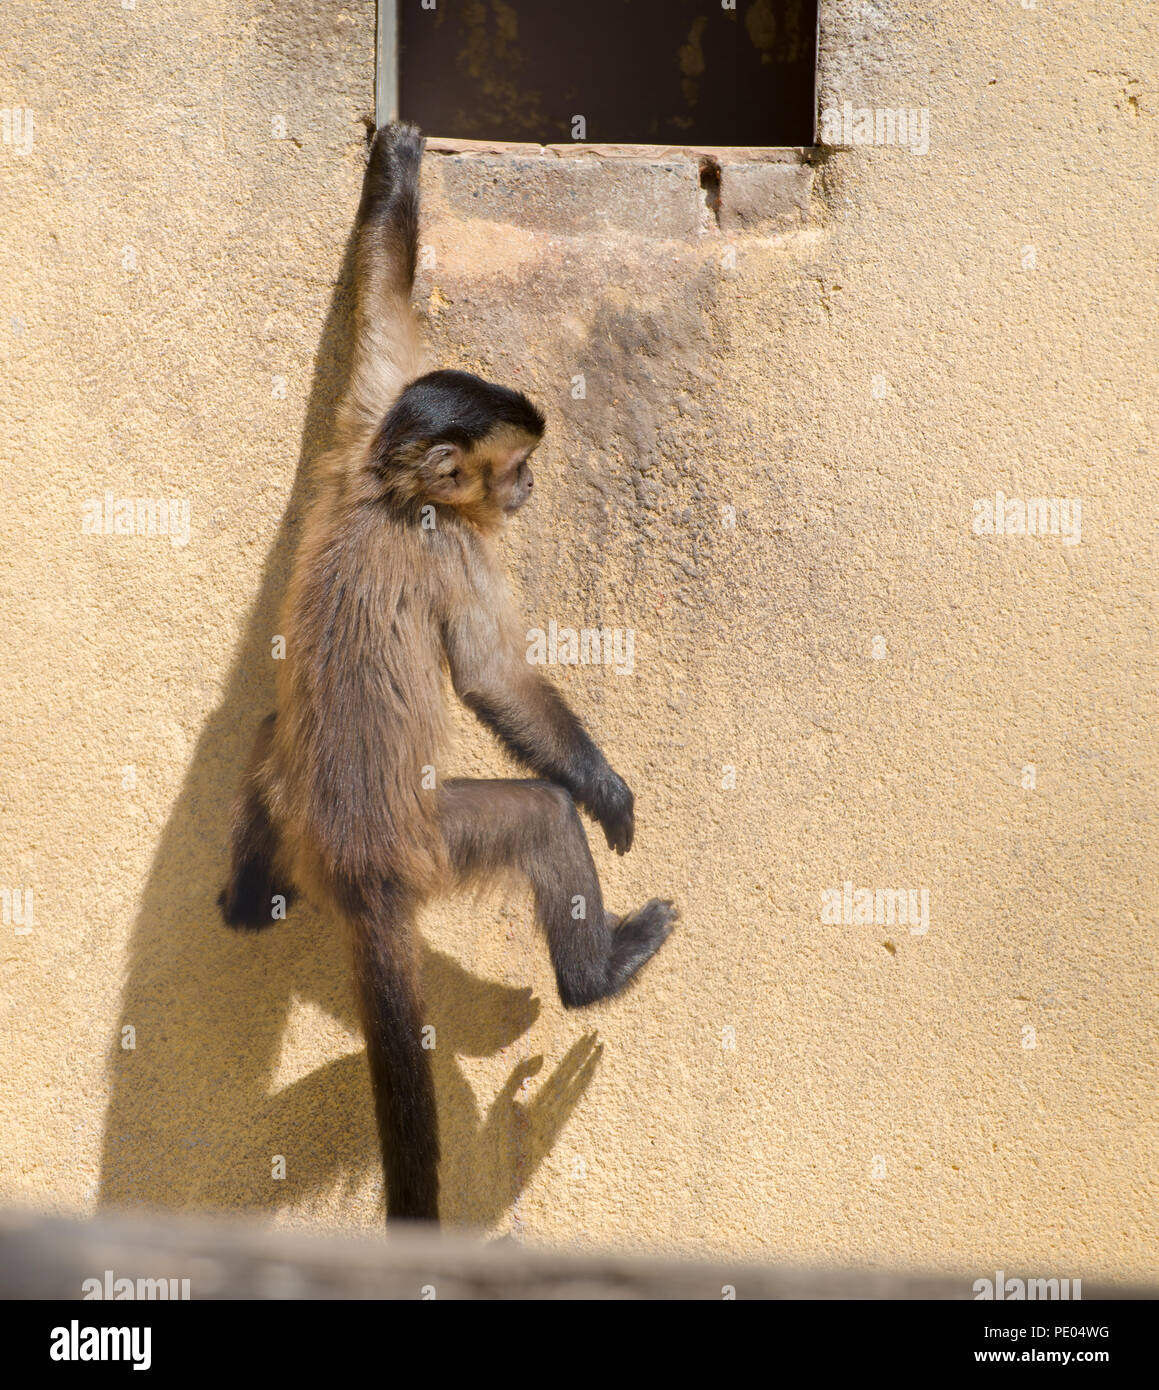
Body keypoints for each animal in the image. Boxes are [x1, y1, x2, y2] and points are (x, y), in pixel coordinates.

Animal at [216, 125, 672, 1223]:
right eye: (515, 470)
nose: (530, 488)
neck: (390, 489)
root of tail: (359, 864)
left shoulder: (365, 429)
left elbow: (377, 325)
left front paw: (396, 169)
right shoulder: (456, 543)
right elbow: (493, 681)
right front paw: (607, 791)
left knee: (267, 730)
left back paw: (250, 891)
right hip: (433, 841)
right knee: (538, 816)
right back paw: (596, 973)